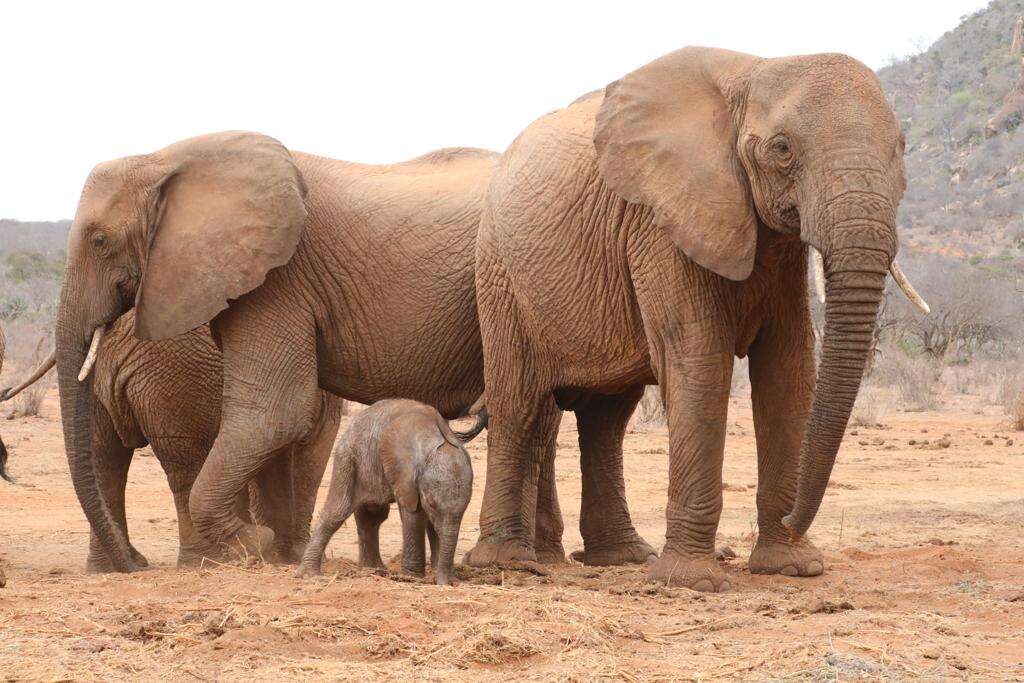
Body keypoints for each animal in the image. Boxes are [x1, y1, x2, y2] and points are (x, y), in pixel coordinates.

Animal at [4, 313, 339, 569]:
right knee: (185, 461)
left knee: (105, 459)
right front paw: (287, 554)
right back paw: (208, 562)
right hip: (184, 370)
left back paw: (116, 566)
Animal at [294, 401, 481, 589]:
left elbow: (431, 522)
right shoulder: (405, 476)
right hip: (348, 458)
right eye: (431, 503)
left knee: (372, 515)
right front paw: (412, 577)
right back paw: (310, 575)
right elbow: (413, 515)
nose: (447, 583)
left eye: (466, 507)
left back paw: (372, 569)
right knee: (337, 511)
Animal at [468, 48, 933, 593]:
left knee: (607, 419)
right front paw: (693, 580)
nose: (796, 519)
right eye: (782, 149)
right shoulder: (661, 219)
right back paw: (505, 564)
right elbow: (700, 359)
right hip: (499, 274)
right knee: (517, 403)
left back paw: (622, 558)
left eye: (901, 148)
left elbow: (790, 365)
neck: (753, 71)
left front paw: (792, 566)